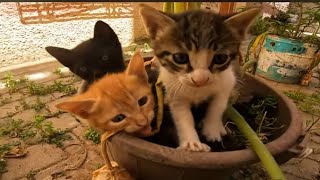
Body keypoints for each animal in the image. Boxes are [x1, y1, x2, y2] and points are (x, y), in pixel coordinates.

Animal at [140, 4, 260, 151]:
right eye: (180, 58)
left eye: (220, 58)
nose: (200, 79)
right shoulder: (174, 91)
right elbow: (182, 115)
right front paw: (192, 142)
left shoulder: (227, 81)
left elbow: (218, 104)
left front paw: (212, 129)